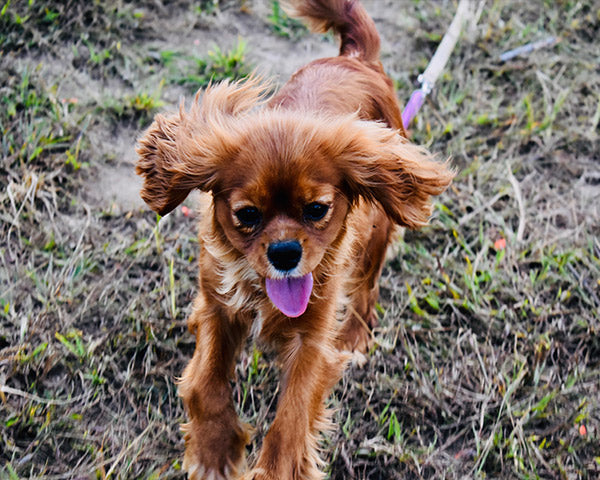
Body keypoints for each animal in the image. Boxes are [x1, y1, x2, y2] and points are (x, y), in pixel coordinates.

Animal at [137, 0, 454, 478]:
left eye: (316, 210)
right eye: (247, 215)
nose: (285, 252)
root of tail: (355, 59)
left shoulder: (313, 339)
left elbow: (291, 417)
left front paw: (274, 468)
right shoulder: (217, 307)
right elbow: (207, 383)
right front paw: (214, 450)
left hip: (378, 227)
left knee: (367, 287)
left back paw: (355, 337)